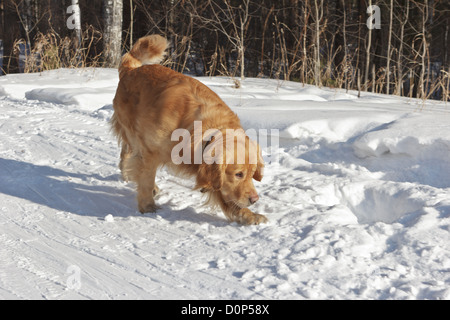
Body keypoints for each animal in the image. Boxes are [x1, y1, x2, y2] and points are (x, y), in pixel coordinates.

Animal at [111, 35, 268, 225]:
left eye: (252, 174)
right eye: (238, 174)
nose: (254, 199)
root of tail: (131, 70)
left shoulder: (214, 177)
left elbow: (229, 199)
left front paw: (249, 215)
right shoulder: (150, 152)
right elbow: (146, 180)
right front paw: (147, 206)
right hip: (133, 132)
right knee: (129, 153)